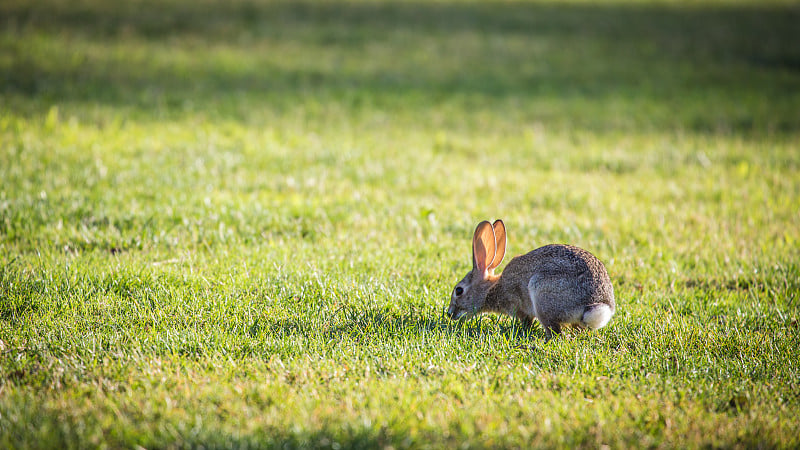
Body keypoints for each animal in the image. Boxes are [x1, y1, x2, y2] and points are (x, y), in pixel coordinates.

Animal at [446, 220, 616, 340]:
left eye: (459, 290)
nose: (449, 314)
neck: (492, 288)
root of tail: (597, 304)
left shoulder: (519, 305)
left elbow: (526, 320)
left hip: (541, 294)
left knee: (555, 332)